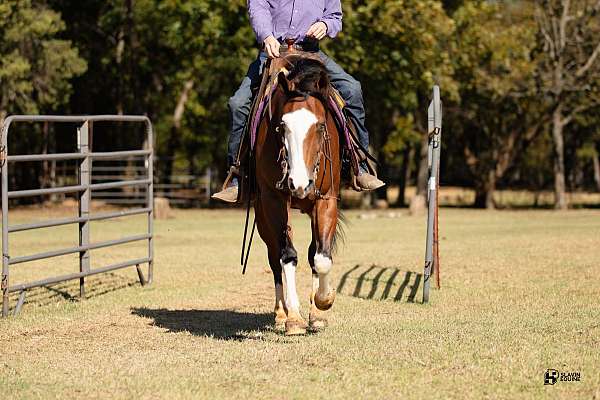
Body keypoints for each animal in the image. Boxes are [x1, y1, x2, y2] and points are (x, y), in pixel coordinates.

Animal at [253, 53, 342, 334]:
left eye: (321, 127)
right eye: (282, 127)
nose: (299, 183)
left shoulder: (327, 199)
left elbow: (321, 257)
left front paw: (322, 304)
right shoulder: (273, 201)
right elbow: (287, 256)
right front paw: (293, 318)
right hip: (262, 215)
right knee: (274, 258)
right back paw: (282, 314)